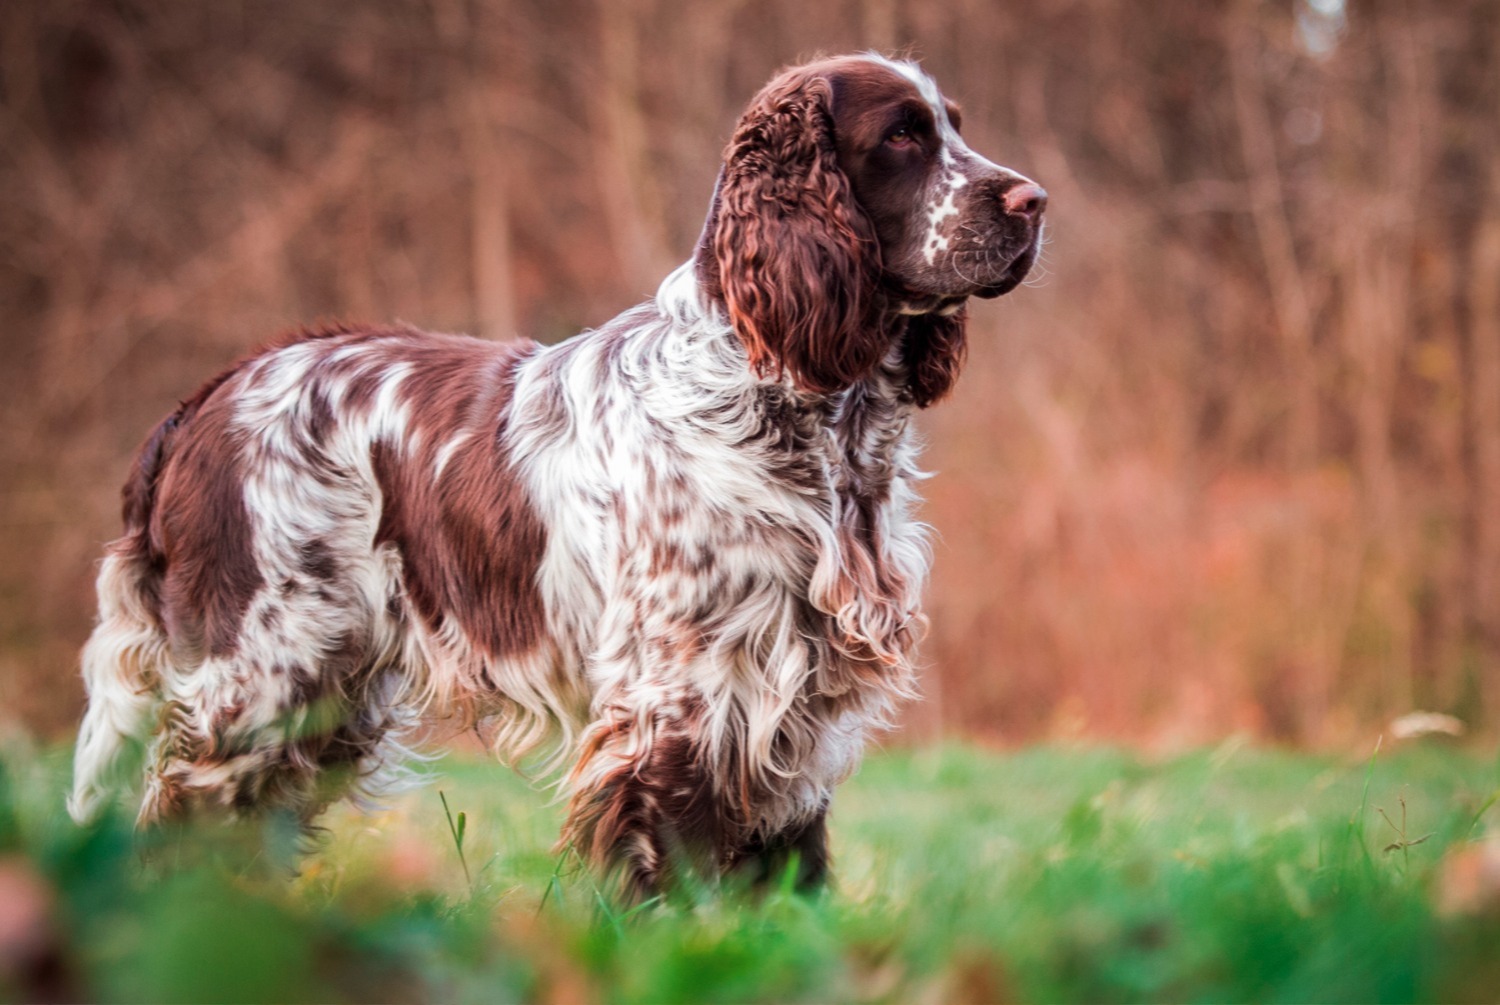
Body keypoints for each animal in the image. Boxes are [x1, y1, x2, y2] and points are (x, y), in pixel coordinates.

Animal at [70, 55, 1050, 900]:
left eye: (955, 126)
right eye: (903, 136)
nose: (1036, 200)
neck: (792, 410)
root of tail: (205, 400)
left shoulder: (793, 710)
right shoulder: (681, 706)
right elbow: (683, 881)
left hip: (320, 701)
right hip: (259, 684)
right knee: (177, 827)